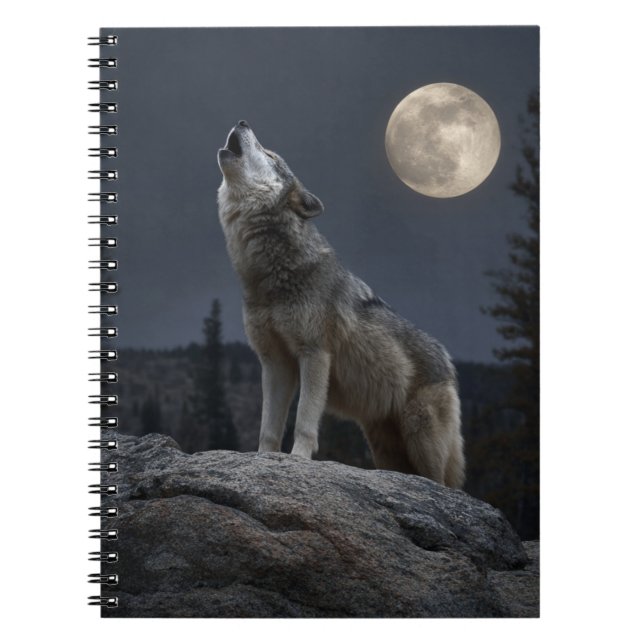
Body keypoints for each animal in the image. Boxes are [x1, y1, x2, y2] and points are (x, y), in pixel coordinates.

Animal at [217, 121, 465, 488]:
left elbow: (304, 421)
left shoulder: (315, 354)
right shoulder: (274, 363)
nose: (243, 122)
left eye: (270, 154)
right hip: (385, 447)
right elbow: (268, 428)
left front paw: (298, 461)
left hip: (421, 438)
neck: (269, 277)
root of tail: (448, 361)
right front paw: (263, 461)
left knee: (442, 484)